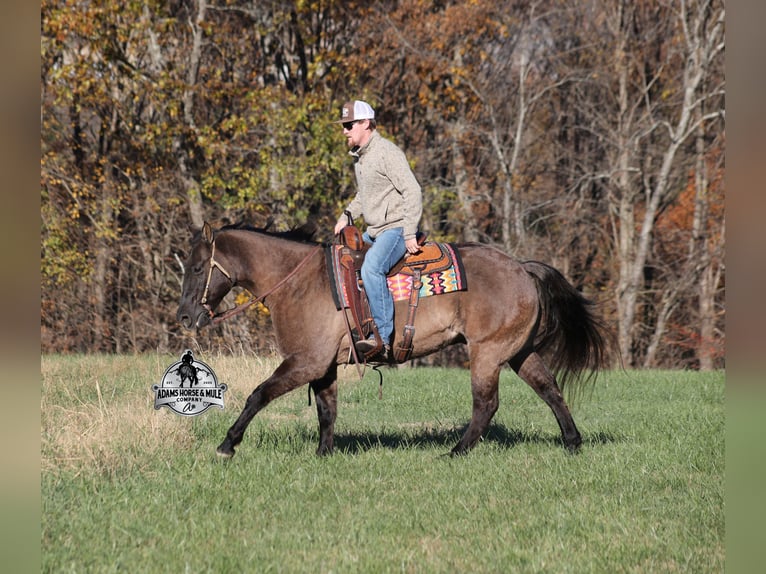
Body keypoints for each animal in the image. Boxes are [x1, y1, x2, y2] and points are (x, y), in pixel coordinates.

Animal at [176, 222, 612, 459]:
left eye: (197, 268)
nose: (183, 316)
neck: (297, 282)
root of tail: (522, 266)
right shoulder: (324, 365)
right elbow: (327, 410)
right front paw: (323, 453)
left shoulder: (306, 360)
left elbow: (258, 395)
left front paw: (227, 444)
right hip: (521, 351)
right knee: (550, 389)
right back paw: (573, 442)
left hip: (487, 352)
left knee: (486, 404)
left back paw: (455, 452)